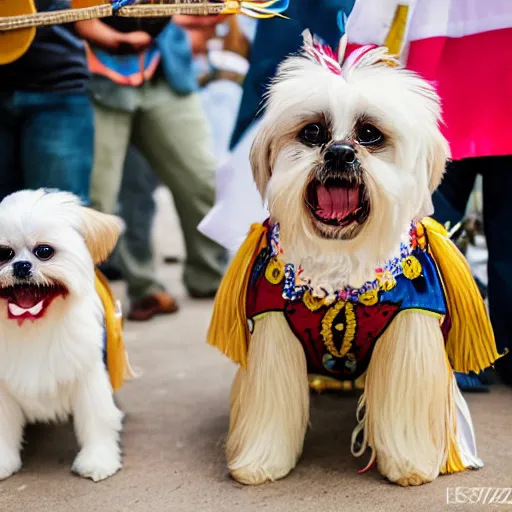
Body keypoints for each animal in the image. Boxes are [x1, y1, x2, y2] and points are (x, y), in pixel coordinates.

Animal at [0, 188, 125, 480]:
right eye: (4, 253)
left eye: (44, 251)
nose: (21, 266)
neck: (33, 325)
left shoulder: (88, 373)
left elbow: (97, 418)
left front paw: (98, 460)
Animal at [208, 32, 500, 488]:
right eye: (312, 131)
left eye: (370, 134)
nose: (340, 153)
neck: (340, 264)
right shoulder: (273, 325)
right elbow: (269, 407)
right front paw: (259, 463)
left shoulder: (411, 321)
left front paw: (410, 465)